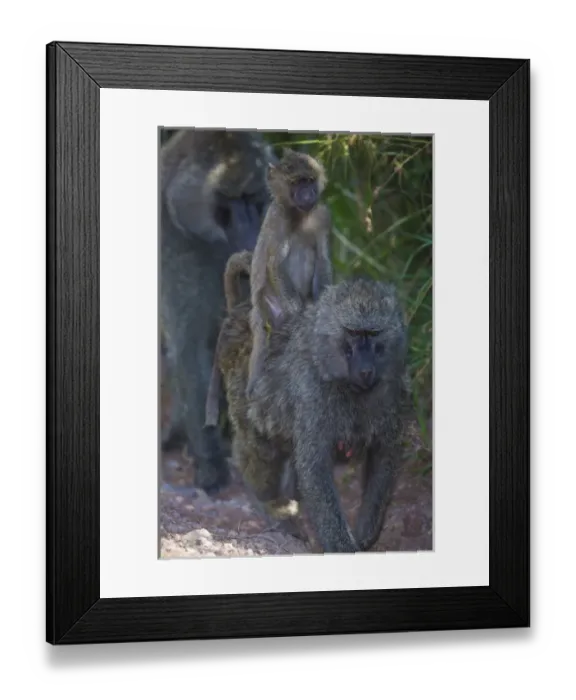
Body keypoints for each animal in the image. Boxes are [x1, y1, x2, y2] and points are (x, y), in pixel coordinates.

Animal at [225, 276, 411, 553]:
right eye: (354, 333)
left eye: (373, 333)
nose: (366, 371)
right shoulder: (312, 392)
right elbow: (315, 468)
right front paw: (343, 546)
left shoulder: (392, 388)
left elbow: (383, 455)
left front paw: (365, 533)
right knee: (260, 450)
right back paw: (272, 510)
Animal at [246, 148, 333, 400]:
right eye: (296, 182)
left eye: (310, 180)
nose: (307, 194)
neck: (300, 216)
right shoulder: (278, 218)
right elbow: (275, 265)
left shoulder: (322, 216)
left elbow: (322, 258)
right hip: (268, 308)